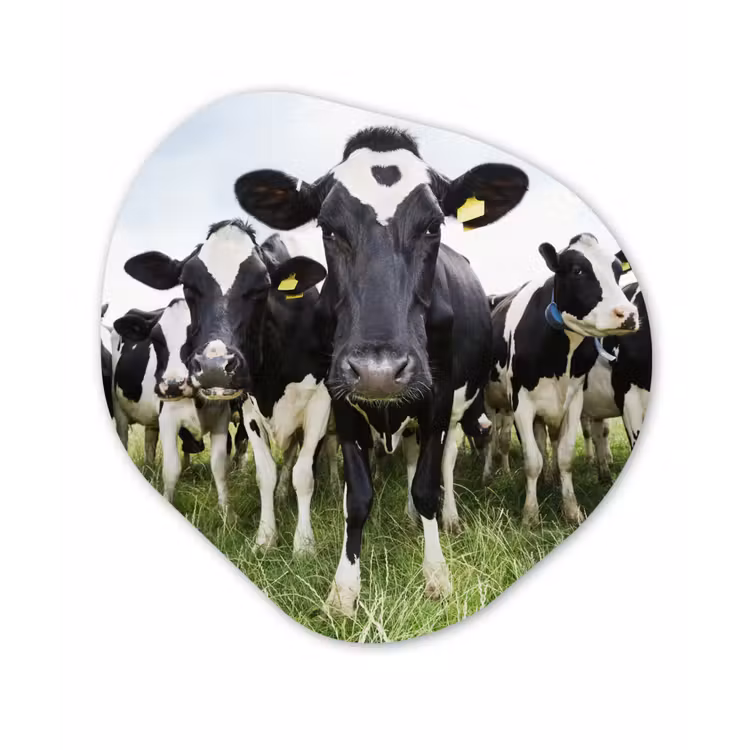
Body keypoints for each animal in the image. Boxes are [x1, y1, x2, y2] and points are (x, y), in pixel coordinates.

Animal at [122, 220, 331, 555]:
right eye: (187, 285)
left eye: (262, 287)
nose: (214, 367)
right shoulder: (249, 408)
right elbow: (265, 474)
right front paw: (266, 537)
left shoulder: (320, 404)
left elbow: (304, 474)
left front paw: (304, 544)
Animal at [233, 125, 529, 615]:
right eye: (328, 228)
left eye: (433, 225)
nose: (379, 371)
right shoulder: (340, 399)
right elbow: (357, 496)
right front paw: (344, 590)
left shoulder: (437, 398)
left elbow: (427, 486)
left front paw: (436, 575)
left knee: (445, 463)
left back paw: (446, 519)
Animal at [483, 233, 639, 527]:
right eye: (577, 270)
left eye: (617, 271)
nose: (629, 314)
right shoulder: (521, 403)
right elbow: (532, 460)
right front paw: (530, 515)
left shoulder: (574, 401)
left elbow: (564, 456)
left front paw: (571, 509)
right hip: (492, 403)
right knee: (494, 439)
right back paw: (490, 473)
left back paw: (550, 479)